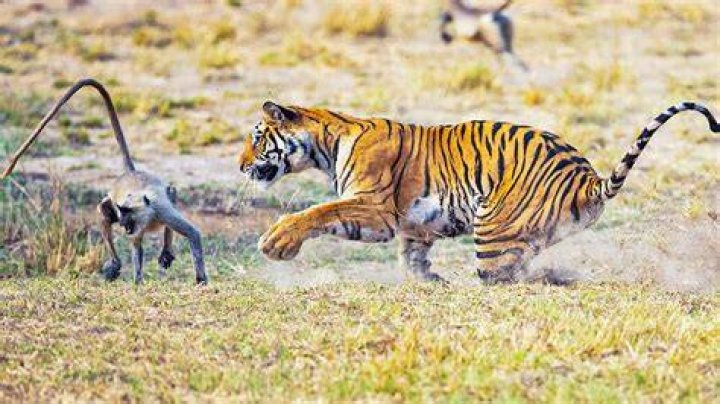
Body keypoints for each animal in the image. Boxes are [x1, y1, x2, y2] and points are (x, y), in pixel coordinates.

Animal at [1, 78, 208, 285]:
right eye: (122, 210)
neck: (147, 212)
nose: (122, 222)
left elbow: (192, 233)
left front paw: (201, 280)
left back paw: (164, 251)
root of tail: (131, 173)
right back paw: (115, 262)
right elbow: (136, 245)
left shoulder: (160, 210)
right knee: (105, 211)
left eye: (127, 211)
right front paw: (137, 282)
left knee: (171, 194)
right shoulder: (138, 223)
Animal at [238, 101, 718, 283]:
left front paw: (277, 243)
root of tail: (587, 176)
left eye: (257, 137)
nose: (240, 164)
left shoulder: (375, 208)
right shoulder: (412, 225)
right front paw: (430, 283)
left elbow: (317, 212)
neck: (326, 144)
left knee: (508, 281)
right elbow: (412, 258)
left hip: (493, 234)